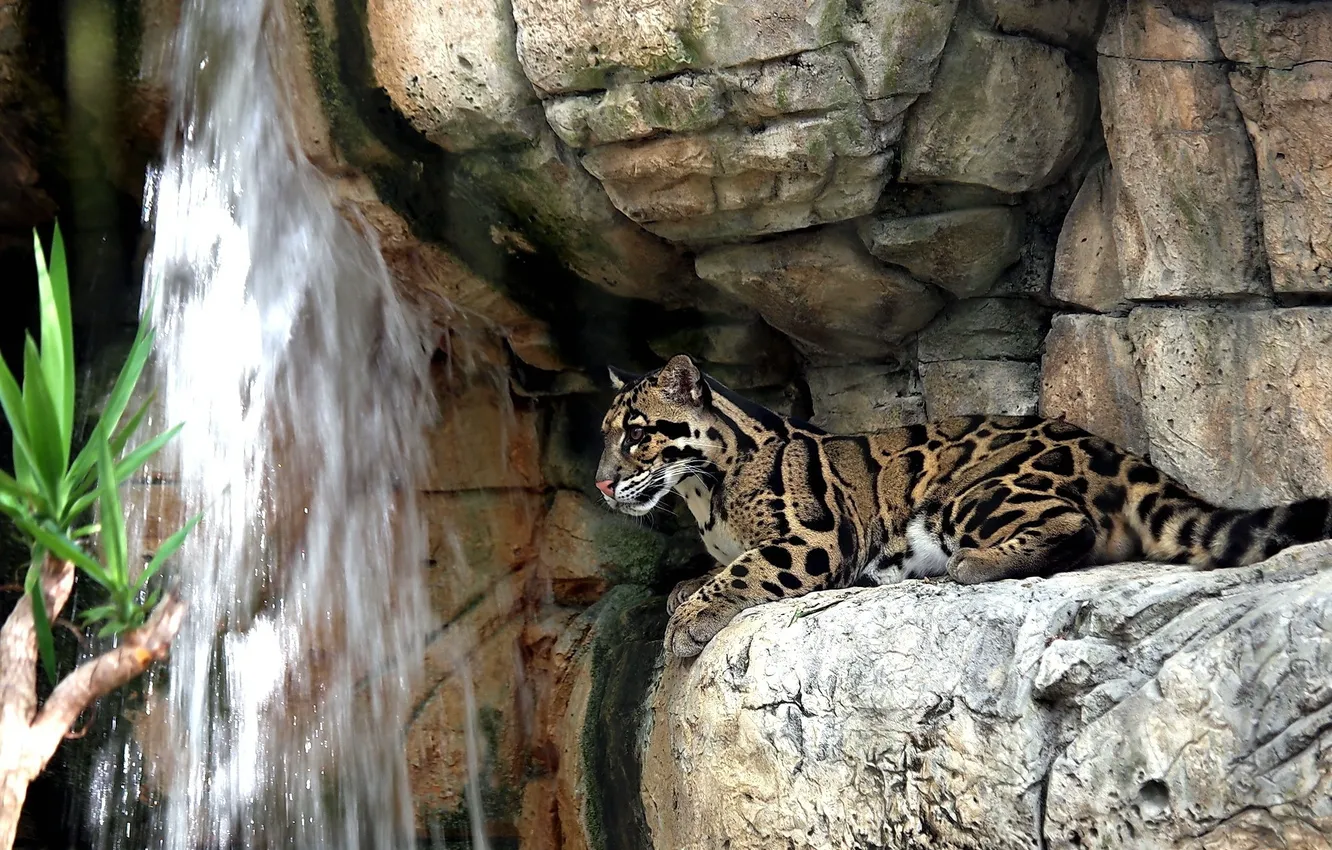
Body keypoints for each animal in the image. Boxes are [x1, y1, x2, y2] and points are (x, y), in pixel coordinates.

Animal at [595, 354, 1332, 658]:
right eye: (604, 435)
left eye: (636, 434)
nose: (601, 485)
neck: (702, 494)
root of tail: (1112, 450)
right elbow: (713, 569)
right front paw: (683, 591)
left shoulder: (815, 538)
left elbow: (742, 572)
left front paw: (690, 616)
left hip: (966, 494)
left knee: (1074, 526)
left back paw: (970, 567)